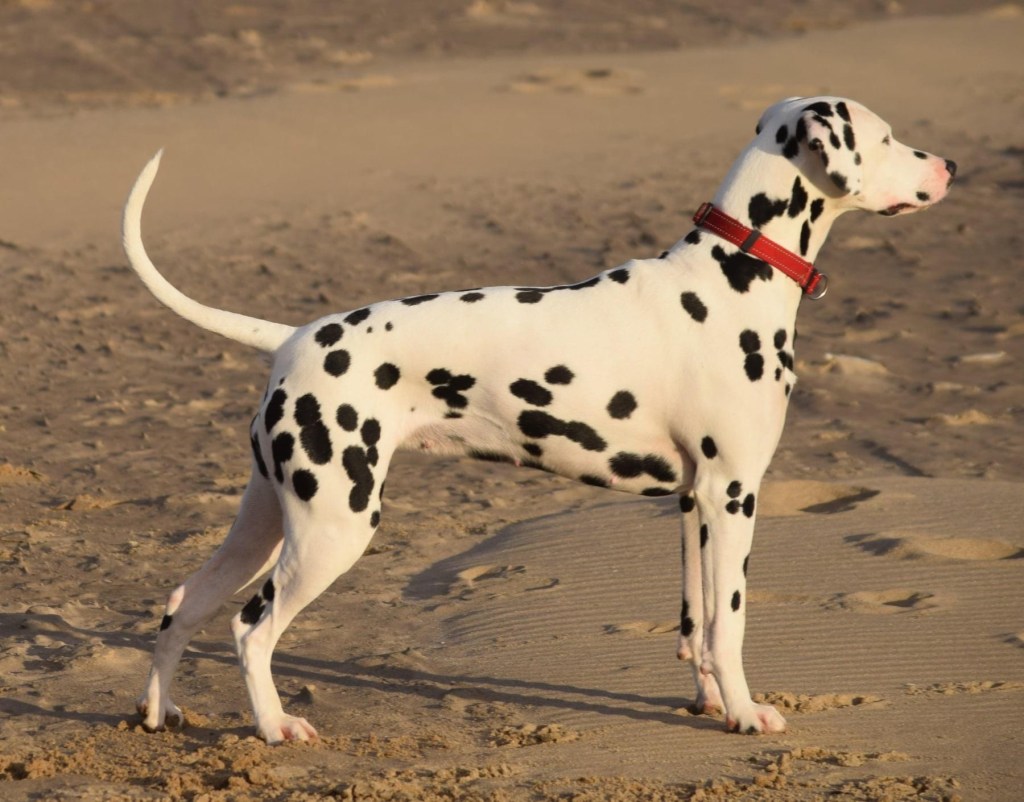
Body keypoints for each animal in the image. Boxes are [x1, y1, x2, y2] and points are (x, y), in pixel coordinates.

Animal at [122, 96, 955, 743]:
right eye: (886, 137)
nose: (948, 165)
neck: (733, 274)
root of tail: (292, 337)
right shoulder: (734, 493)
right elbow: (730, 622)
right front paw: (747, 715)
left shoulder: (695, 501)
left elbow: (694, 625)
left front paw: (711, 703)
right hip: (334, 528)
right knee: (250, 628)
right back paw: (274, 726)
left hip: (267, 521)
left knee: (181, 606)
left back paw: (161, 712)